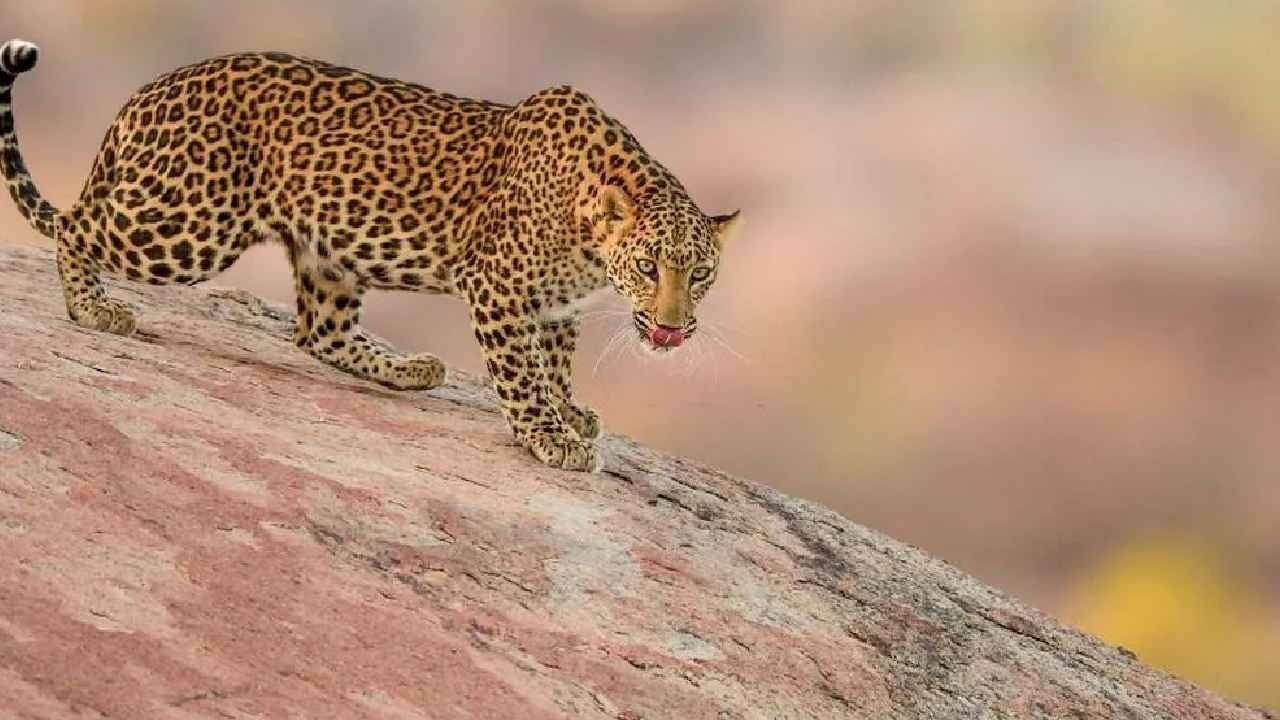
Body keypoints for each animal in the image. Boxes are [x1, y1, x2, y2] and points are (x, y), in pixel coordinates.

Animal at [0, 39, 740, 472]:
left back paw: (410, 369)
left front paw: (572, 412)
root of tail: (146, 92)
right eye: (648, 267)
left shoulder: (556, 306)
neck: (589, 234)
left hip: (326, 253)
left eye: (700, 273)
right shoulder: (497, 287)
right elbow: (522, 373)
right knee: (77, 227)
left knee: (316, 334)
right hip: (189, 223)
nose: (672, 328)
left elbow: (554, 363)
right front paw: (548, 434)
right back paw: (92, 310)